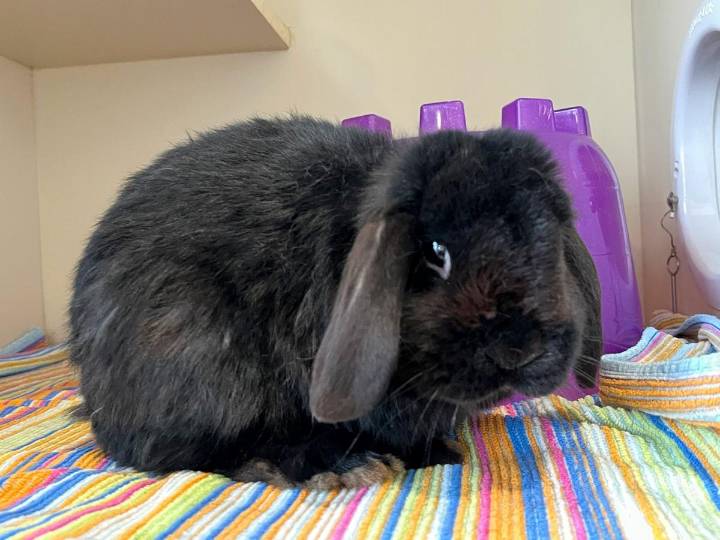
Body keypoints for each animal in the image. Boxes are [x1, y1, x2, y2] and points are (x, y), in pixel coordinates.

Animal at [69, 115, 602, 488]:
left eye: (548, 240)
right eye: (435, 252)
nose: (521, 347)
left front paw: (439, 452)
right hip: (198, 352)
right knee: (182, 452)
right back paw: (333, 465)